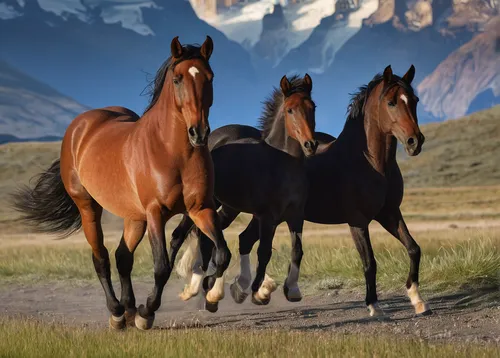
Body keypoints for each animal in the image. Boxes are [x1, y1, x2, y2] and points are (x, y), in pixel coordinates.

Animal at [10, 35, 230, 330]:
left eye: (210, 77)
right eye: (177, 79)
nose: (199, 133)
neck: (173, 151)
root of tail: (80, 126)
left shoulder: (201, 209)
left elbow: (222, 254)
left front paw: (209, 292)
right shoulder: (155, 212)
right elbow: (161, 267)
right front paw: (146, 314)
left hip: (133, 216)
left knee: (122, 256)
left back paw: (128, 309)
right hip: (89, 206)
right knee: (101, 257)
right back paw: (116, 312)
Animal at [181, 65, 434, 318]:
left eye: (414, 100)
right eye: (391, 102)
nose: (415, 142)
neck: (371, 162)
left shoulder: (389, 214)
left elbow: (414, 249)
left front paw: (418, 300)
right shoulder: (358, 221)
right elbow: (369, 262)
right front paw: (374, 305)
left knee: (238, 239)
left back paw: (231, 288)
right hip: (227, 207)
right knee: (203, 235)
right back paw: (203, 289)